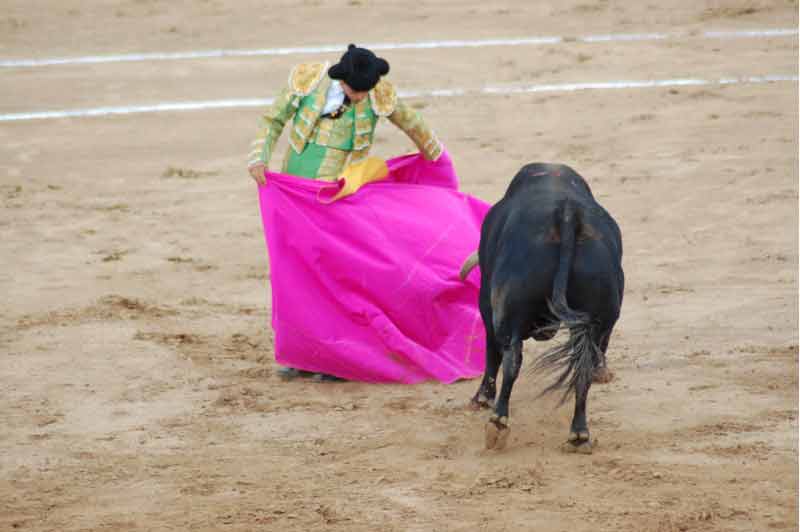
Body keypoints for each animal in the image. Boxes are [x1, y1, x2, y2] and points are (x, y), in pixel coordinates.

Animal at [460, 163, 620, 454]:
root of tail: (567, 215)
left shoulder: (488, 302)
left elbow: (492, 354)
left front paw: (481, 399)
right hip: (600, 315)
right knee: (585, 365)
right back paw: (579, 435)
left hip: (506, 311)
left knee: (511, 358)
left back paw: (497, 423)